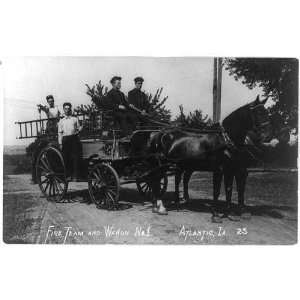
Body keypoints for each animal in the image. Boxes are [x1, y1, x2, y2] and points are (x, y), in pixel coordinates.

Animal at [146, 96, 274, 220]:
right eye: (258, 112)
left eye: (266, 112)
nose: (268, 136)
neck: (226, 140)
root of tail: (160, 134)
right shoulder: (219, 170)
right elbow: (216, 191)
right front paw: (216, 214)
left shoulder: (230, 169)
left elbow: (229, 189)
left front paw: (230, 213)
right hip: (161, 165)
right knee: (155, 181)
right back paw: (159, 207)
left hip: (182, 166)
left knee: (177, 180)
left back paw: (175, 202)